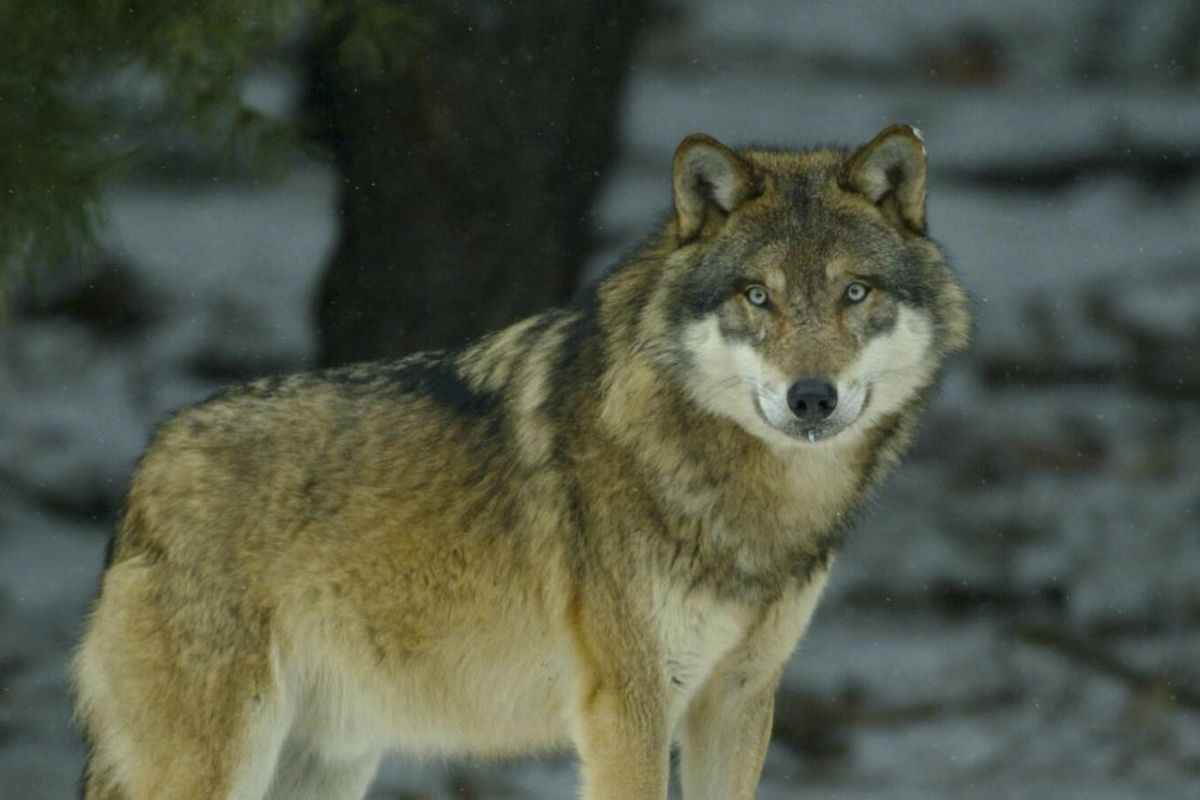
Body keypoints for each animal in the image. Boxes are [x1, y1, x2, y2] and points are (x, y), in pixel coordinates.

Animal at [72, 124, 969, 799]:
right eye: (757, 296)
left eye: (854, 292)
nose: (811, 398)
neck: (747, 501)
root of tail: (146, 467)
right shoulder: (629, 709)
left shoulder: (739, 700)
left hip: (328, 762)